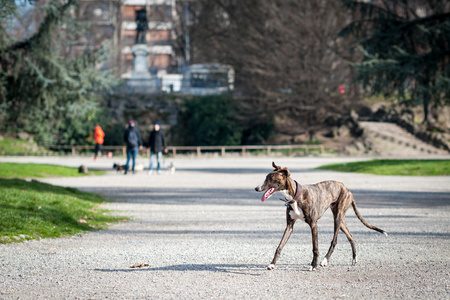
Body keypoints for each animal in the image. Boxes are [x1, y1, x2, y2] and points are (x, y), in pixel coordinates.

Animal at [255, 163, 388, 270]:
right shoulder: (289, 225)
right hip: (340, 220)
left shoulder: (313, 225)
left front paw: (313, 265)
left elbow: (315, 248)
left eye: (270, 178)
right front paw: (272, 264)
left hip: (338, 218)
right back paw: (354, 259)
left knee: (334, 241)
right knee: (350, 236)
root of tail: (348, 189)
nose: (256, 188)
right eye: (266, 177)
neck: (295, 197)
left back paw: (324, 260)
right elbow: (280, 246)